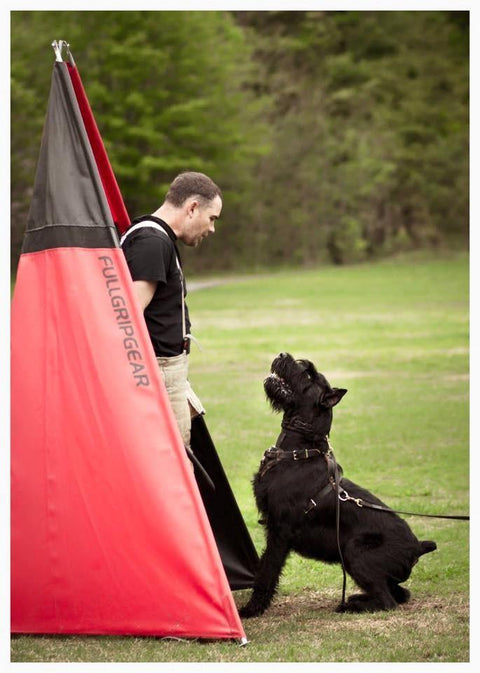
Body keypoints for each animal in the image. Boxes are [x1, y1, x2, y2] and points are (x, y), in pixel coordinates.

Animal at [240, 354, 436, 616]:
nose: (282, 355)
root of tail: (417, 547)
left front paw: (251, 610)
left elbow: (267, 570)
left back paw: (349, 605)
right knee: (400, 594)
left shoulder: (279, 531)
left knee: (388, 601)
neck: (299, 449)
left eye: (308, 374)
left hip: (355, 553)